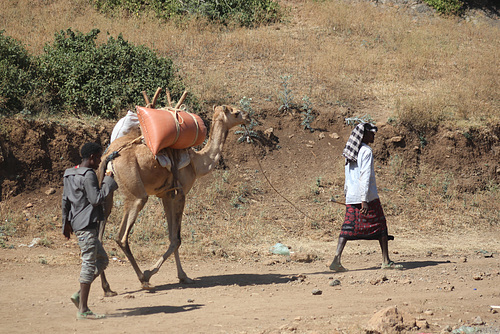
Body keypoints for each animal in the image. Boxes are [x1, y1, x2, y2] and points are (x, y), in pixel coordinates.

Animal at [96, 102, 249, 294]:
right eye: (236, 113)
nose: (248, 116)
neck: (197, 163)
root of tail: (109, 156)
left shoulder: (166, 195)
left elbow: (172, 237)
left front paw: (183, 276)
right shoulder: (180, 193)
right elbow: (177, 239)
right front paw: (152, 272)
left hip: (107, 193)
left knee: (99, 235)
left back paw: (107, 288)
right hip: (135, 193)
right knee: (121, 236)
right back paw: (143, 280)